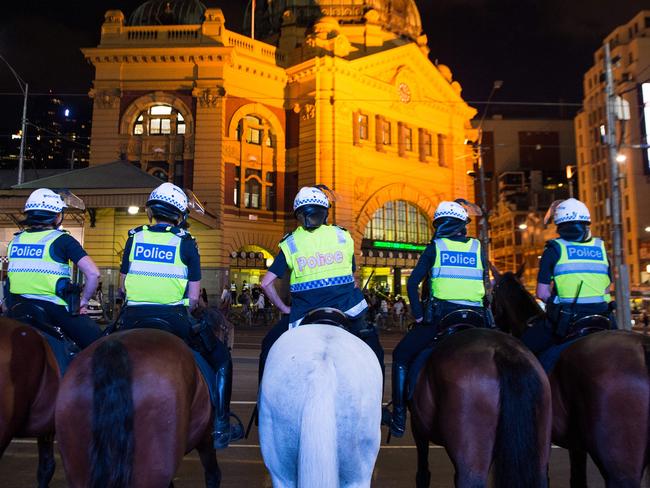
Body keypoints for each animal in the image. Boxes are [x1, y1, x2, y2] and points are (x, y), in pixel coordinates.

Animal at [55, 304, 230, 488]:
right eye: (225, 329)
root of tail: (114, 350)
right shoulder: (206, 438)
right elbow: (213, 474)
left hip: (77, 466)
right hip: (155, 465)